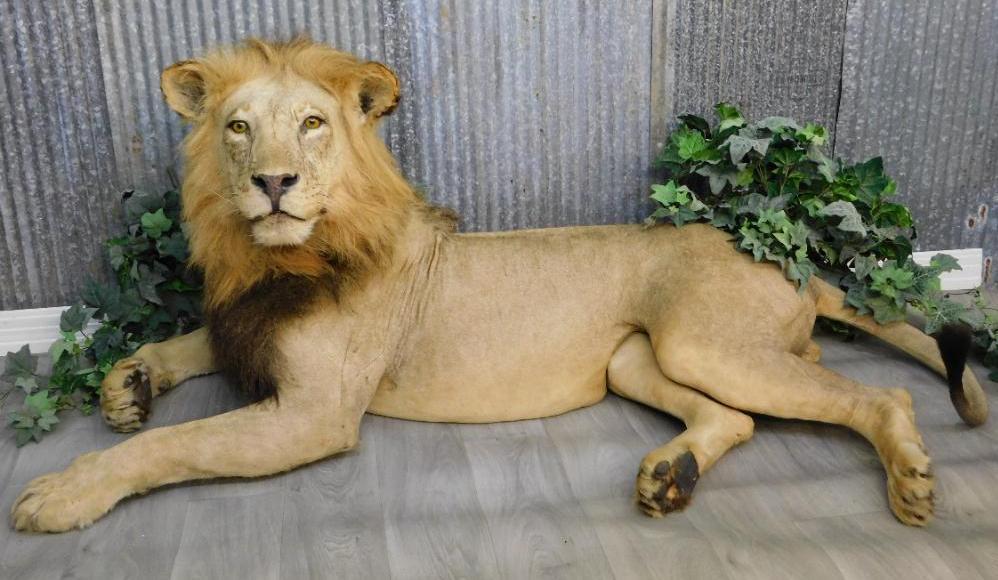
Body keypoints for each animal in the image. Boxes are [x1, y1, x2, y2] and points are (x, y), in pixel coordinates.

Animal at [11, 38, 988, 533]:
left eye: (314, 125)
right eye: (239, 128)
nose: (272, 183)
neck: (283, 257)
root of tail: (786, 258)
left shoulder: (313, 414)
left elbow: (171, 448)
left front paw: (62, 493)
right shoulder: (248, 327)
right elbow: (190, 342)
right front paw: (130, 381)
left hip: (705, 342)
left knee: (885, 396)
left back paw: (911, 481)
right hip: (638, 360)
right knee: (737, 419)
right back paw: (668, 476)